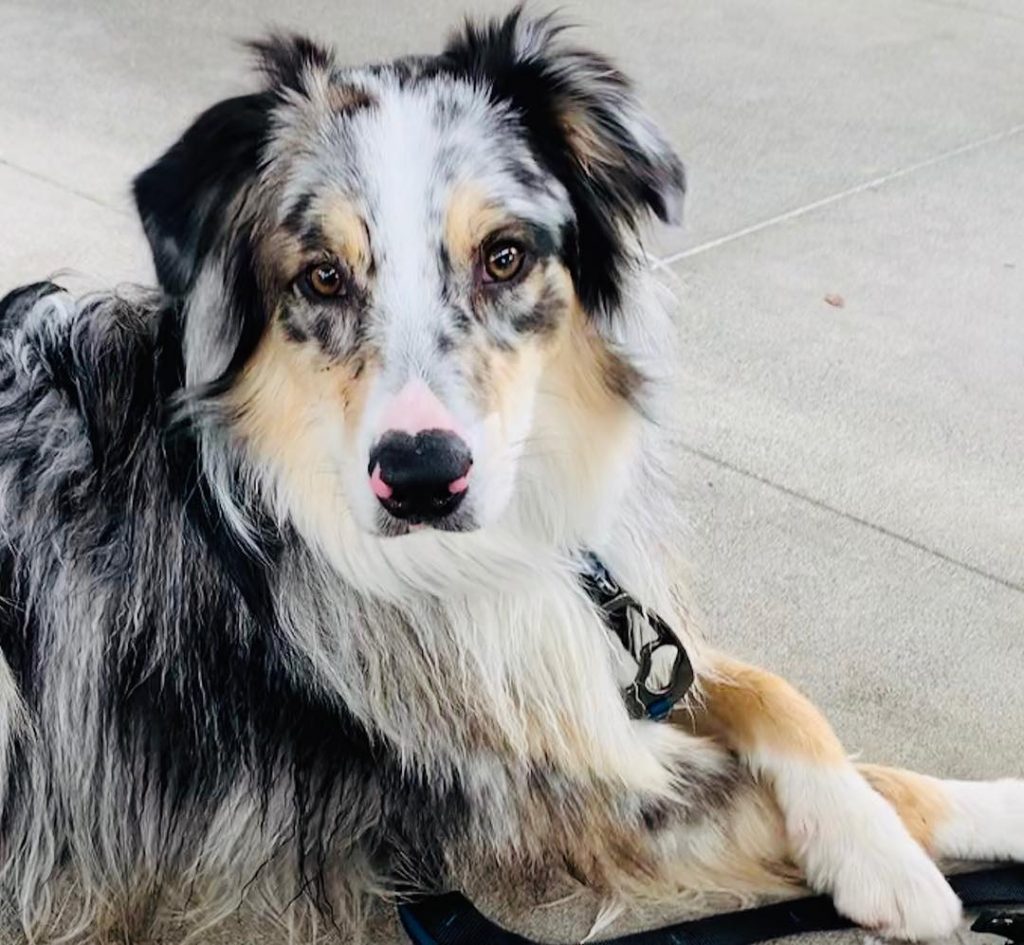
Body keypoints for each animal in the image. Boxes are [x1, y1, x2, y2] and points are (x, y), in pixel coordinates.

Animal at [0, 9, 1019, 945]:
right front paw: (930, 850)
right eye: (322, 276)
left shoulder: (592, 650)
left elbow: (773, 691)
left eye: (505, 256)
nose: (420, 479)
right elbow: (844, 777)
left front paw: (885, 834)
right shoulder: (531, 796)